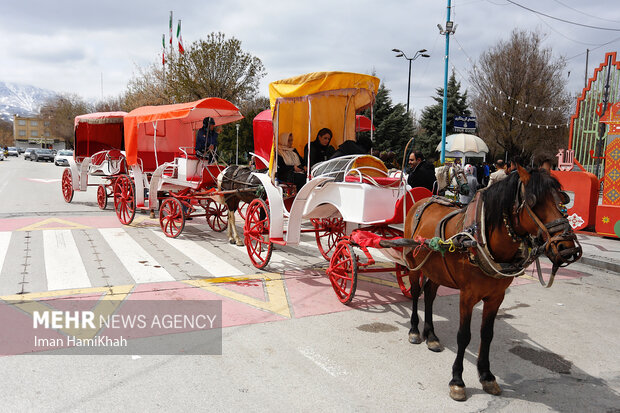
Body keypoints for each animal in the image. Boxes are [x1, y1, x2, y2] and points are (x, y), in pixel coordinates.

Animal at [402, 164, 580, 400]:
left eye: (562, 199)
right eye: (534, 202)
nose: (567, 249)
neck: (480, 239)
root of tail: (424, 200)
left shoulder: (496, 297)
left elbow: (487, 335)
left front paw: (487, 376)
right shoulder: (467, 296)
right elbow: (464, 336)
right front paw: (457, 380)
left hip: (436, 270)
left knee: (429, 295)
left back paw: (431, 335)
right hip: (413, 264)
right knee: (415, 294)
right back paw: (414, 330)